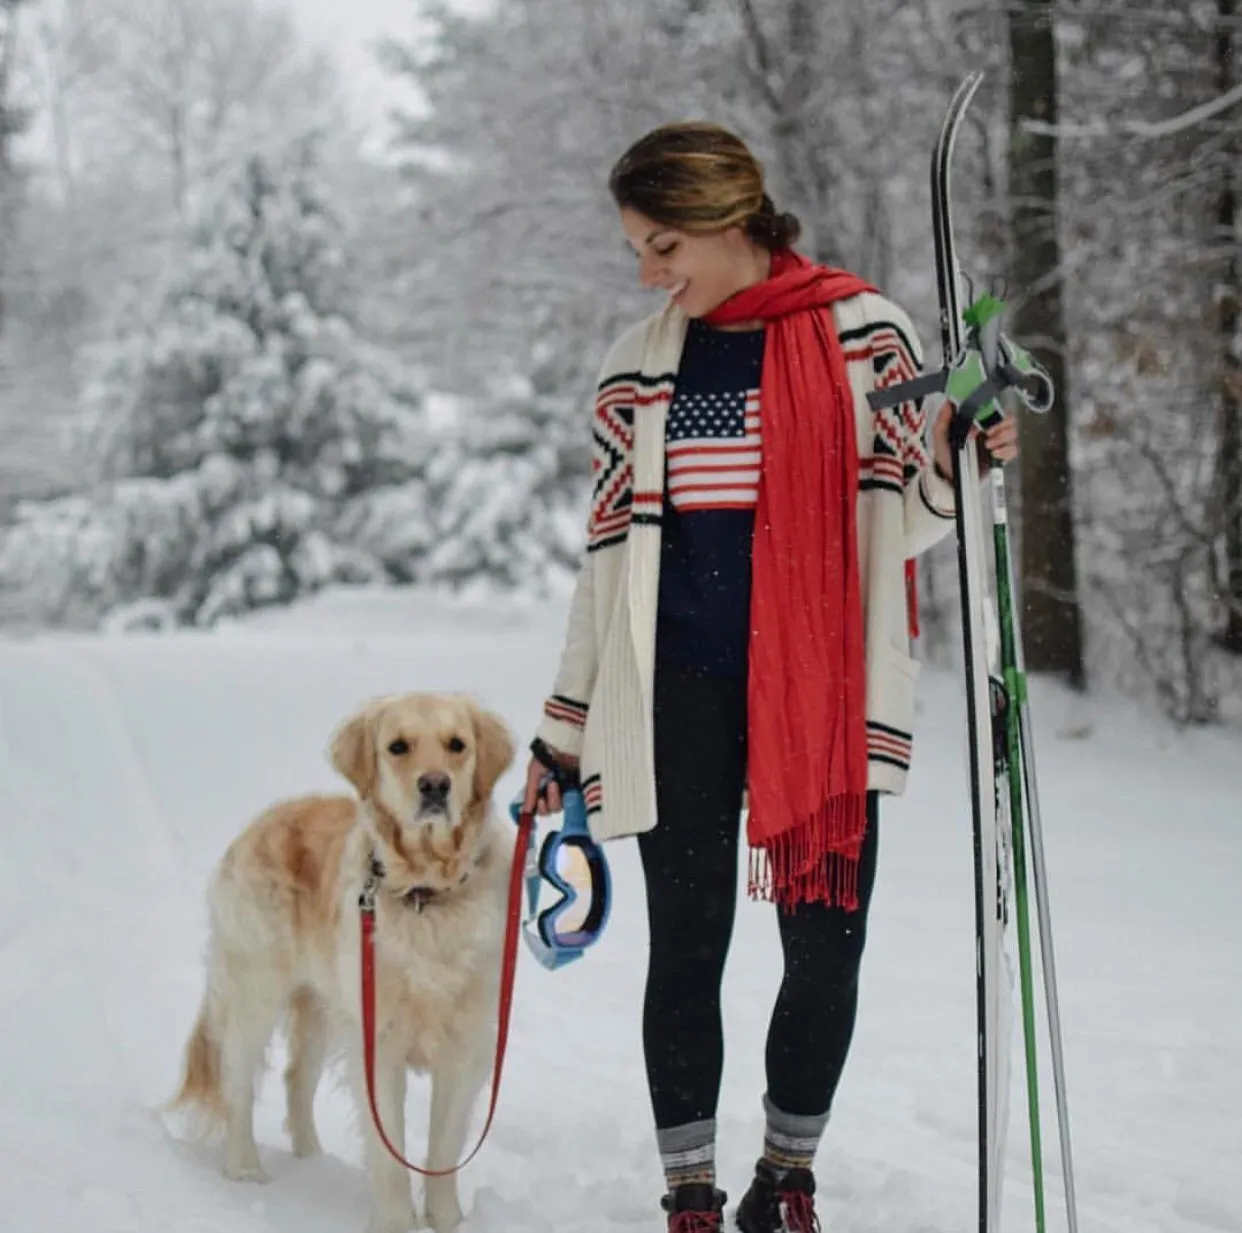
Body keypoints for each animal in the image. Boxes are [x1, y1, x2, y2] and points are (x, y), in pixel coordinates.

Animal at [168, 695, 514, 1231]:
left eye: (457, 745)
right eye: (398, 746)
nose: (435, 784)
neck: (426, 895)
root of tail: (261, 822)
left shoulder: (467, 1046)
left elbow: (443, 1150)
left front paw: (447, 1221)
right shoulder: (379, 1044)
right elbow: (391, 1154)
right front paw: (396, 1223)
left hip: (322, 1005)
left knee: (296, 1077)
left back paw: (312, 1160)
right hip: (255, 990)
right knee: (237, 1079)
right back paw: (245, 1169)